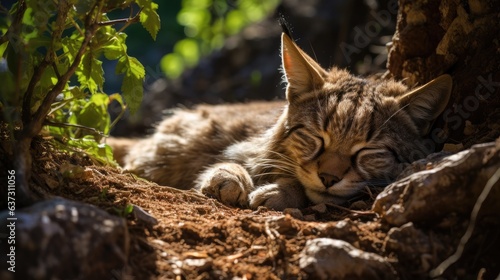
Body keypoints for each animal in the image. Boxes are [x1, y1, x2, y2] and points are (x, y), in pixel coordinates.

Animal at [110, 24, 454, 210]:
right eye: (316, 138)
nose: (329, 178)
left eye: (368, 151)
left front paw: (282, 191)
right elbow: (235, 159)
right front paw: (229, 176)